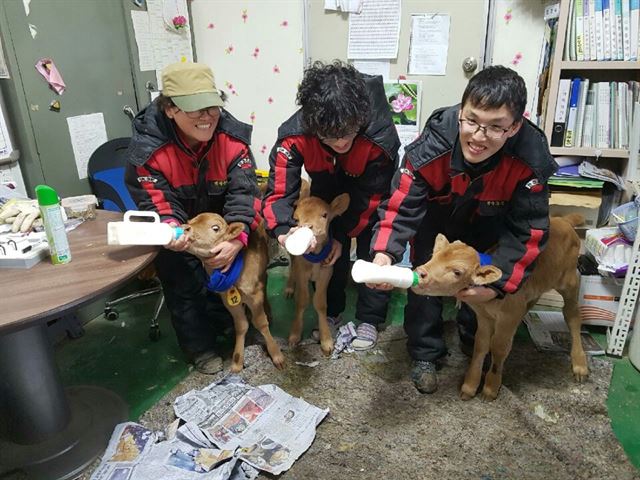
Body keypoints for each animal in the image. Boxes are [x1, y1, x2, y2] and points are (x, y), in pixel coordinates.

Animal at [185, 216, 284, 374]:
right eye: (190, 221)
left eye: (215, 228)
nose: (185, 228)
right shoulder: (228, 302)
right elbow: (241, 326)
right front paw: (237, 362)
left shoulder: (254, 296)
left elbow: (261, 323)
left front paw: (276, 356)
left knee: (265, 280)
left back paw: (268, 311)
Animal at [290, 193, 350, 354]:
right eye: (296, 219)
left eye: (324, 215)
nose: (306, 226)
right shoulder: (301, 271)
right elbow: (302, 300)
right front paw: (295, 335)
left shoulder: (326, 271)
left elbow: (321, 303)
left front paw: (326, 340)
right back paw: (290, 288)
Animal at [412, 216, 588, 400]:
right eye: (433, 256)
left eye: (457, 272)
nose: (421, 272)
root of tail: (562, 219)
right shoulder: (484, 316)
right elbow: (481, 344)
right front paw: (469, 386)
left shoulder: (508, 317)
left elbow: (499, 347)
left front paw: (490, 387)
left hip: (569, 281)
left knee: (572, 315)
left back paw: (580, 365)